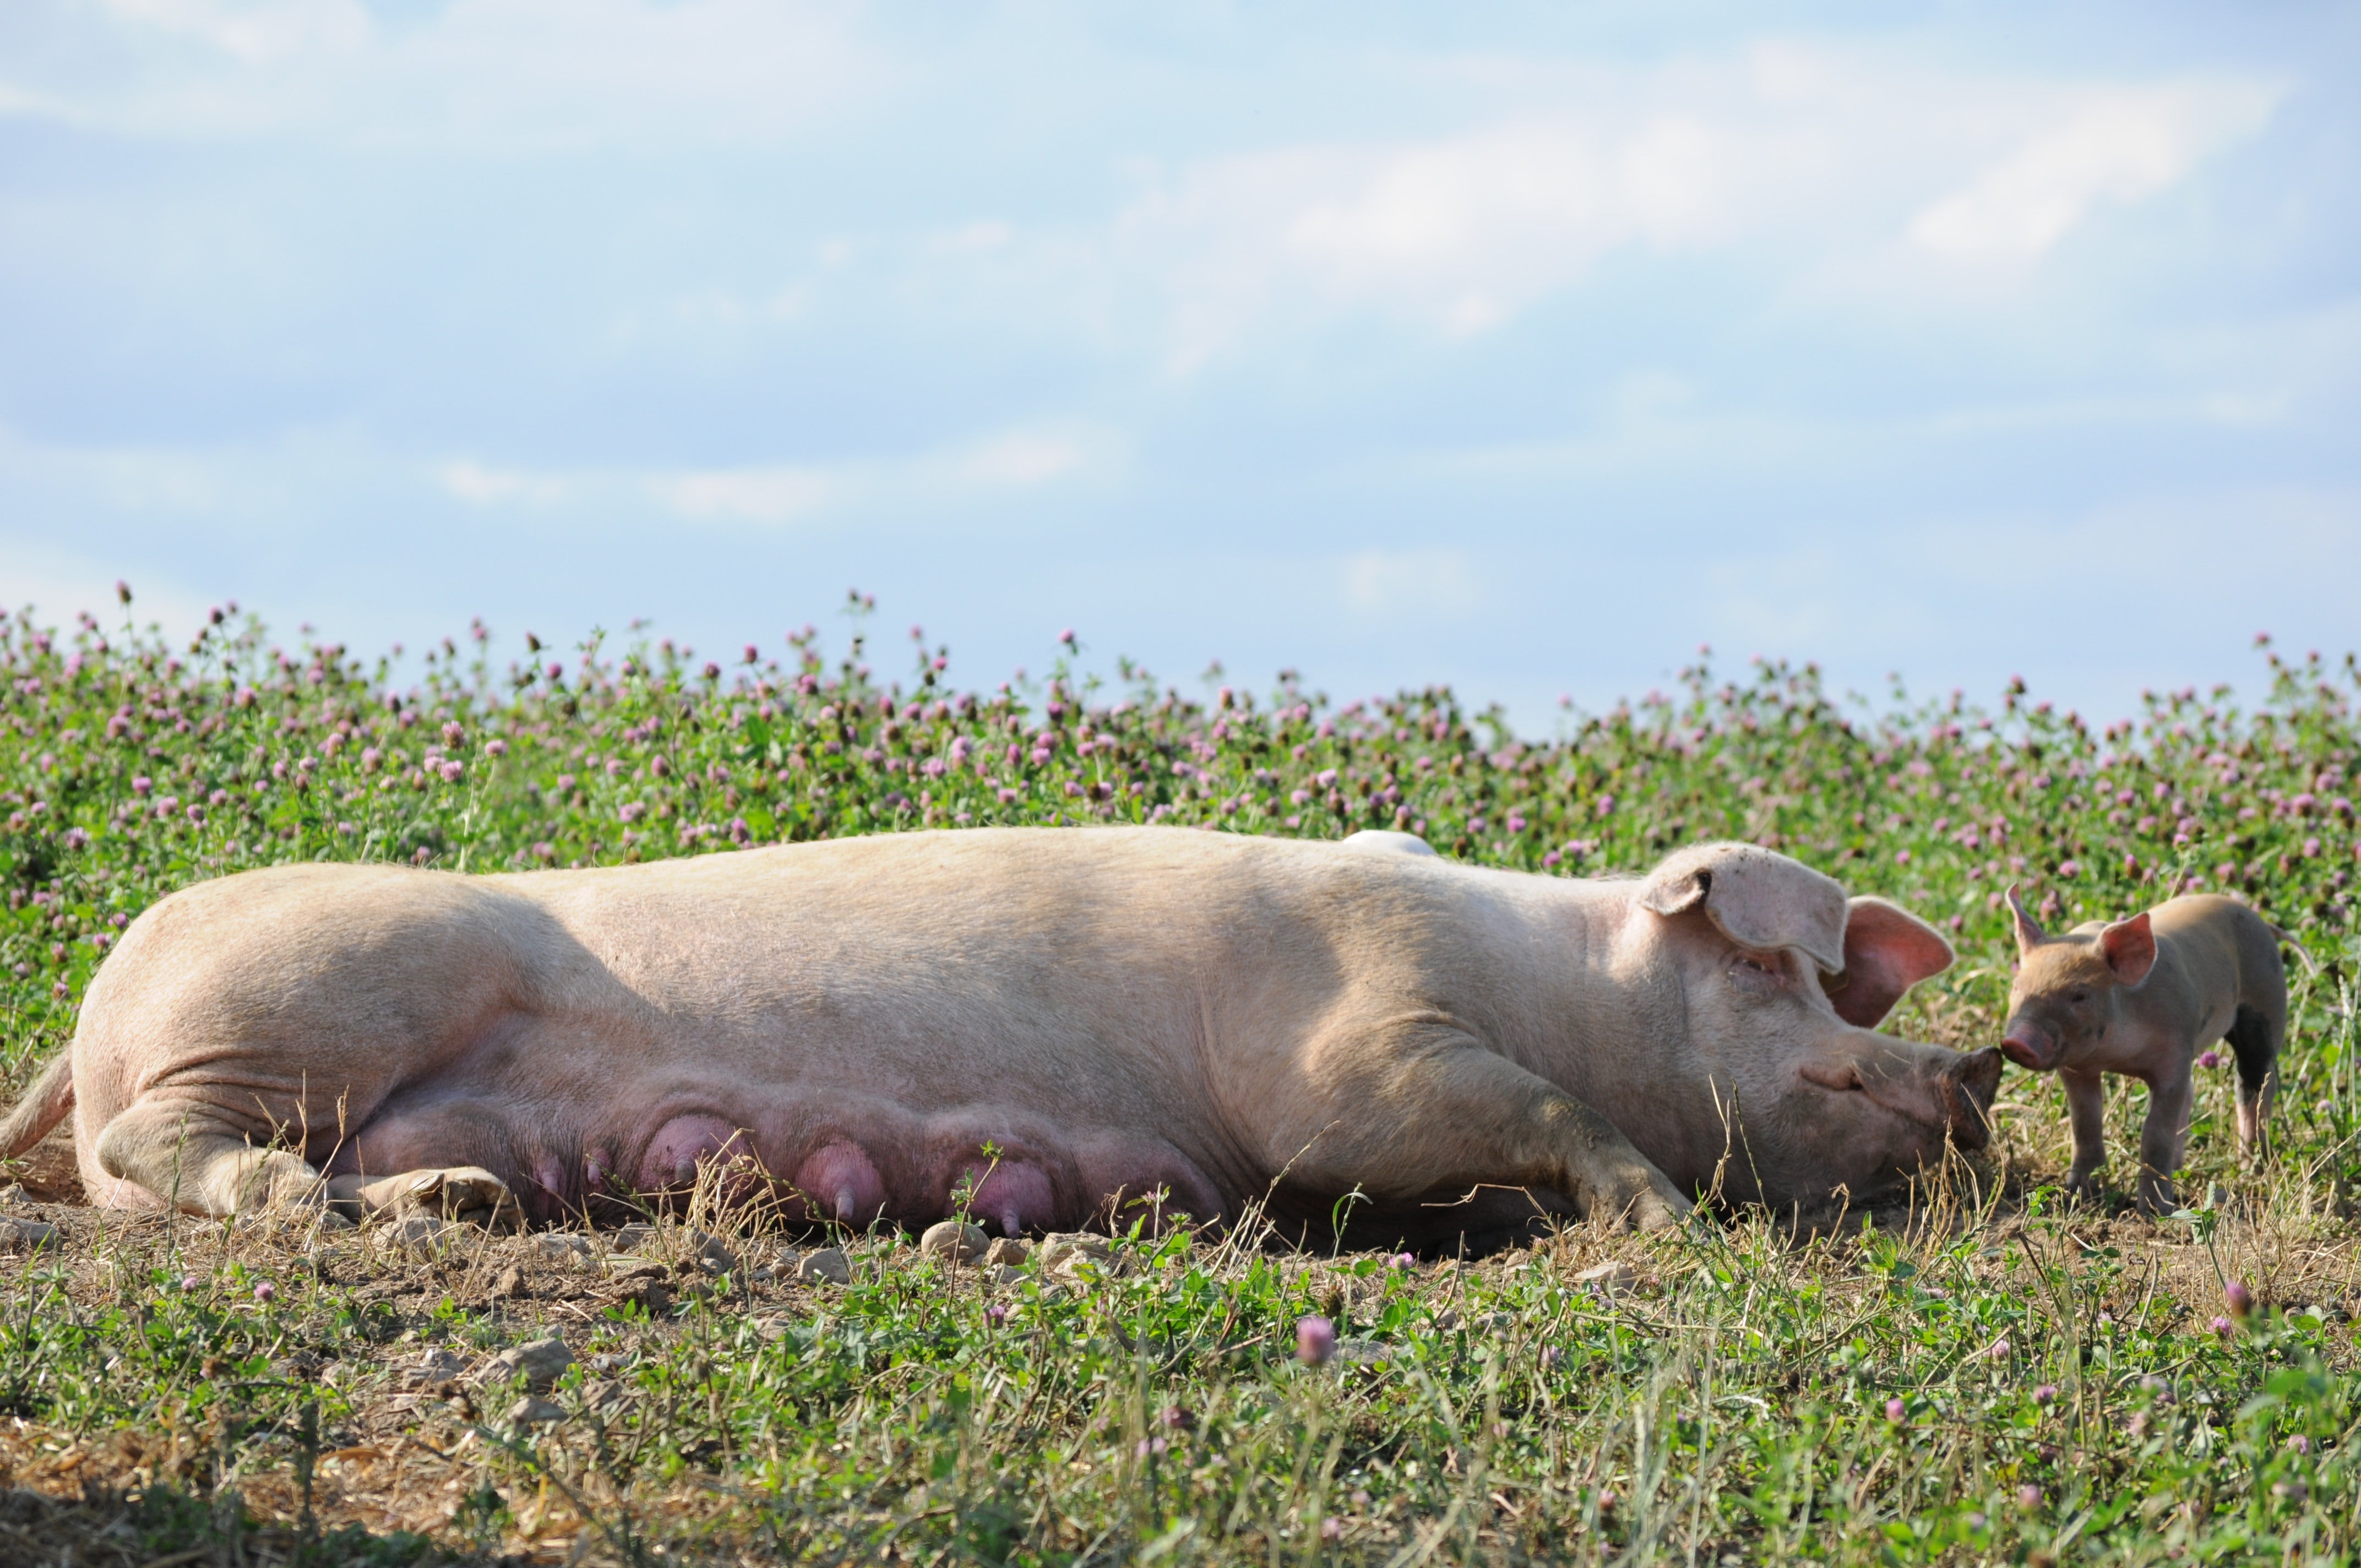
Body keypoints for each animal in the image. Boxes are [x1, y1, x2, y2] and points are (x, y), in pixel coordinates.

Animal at [2002, 883, 2294, 1209]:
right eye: (2017, 986)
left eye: (2079, 996)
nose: (2016, 1042)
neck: (2116, 1056)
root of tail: (2263, 923)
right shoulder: (2078, 1067)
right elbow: (2084, 1121)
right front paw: (2079, 1195)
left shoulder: (2175, 1051)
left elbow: (2156, 1131)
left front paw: (2154, 1211)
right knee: (2196, 1090)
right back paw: (2182, 1165)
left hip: (2267, 1002)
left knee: (2257, 1085)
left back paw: (2253, 1166)